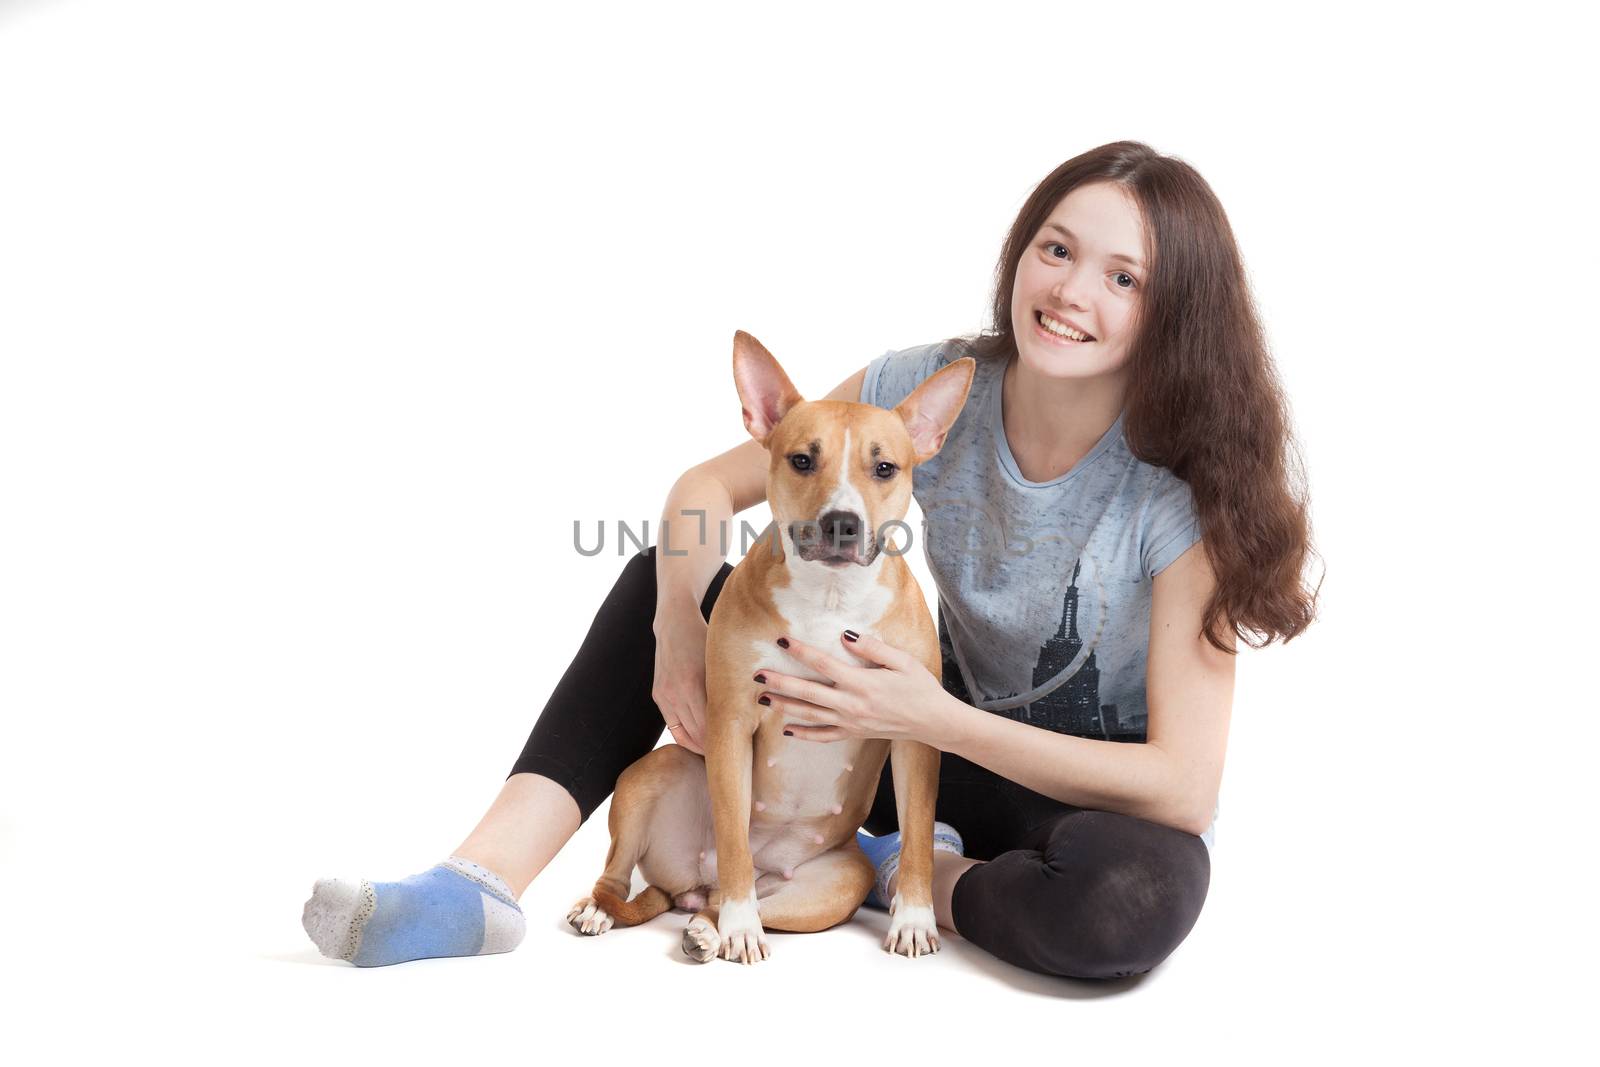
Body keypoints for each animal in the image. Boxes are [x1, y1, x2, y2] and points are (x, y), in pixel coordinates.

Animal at [569, 329, 979, 966]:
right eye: (802, 460)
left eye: (885, 467)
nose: (841, 522)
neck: (830, 599)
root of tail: (692, 887)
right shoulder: (731, 721)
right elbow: (735, 837)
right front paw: (741, 929)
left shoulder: (915, 737)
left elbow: (915, 836)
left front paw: (913, 920)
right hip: (657, 773)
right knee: (633, 874)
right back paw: (628, 911)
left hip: (835, 887)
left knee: (741, 906)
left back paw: (709, 928)